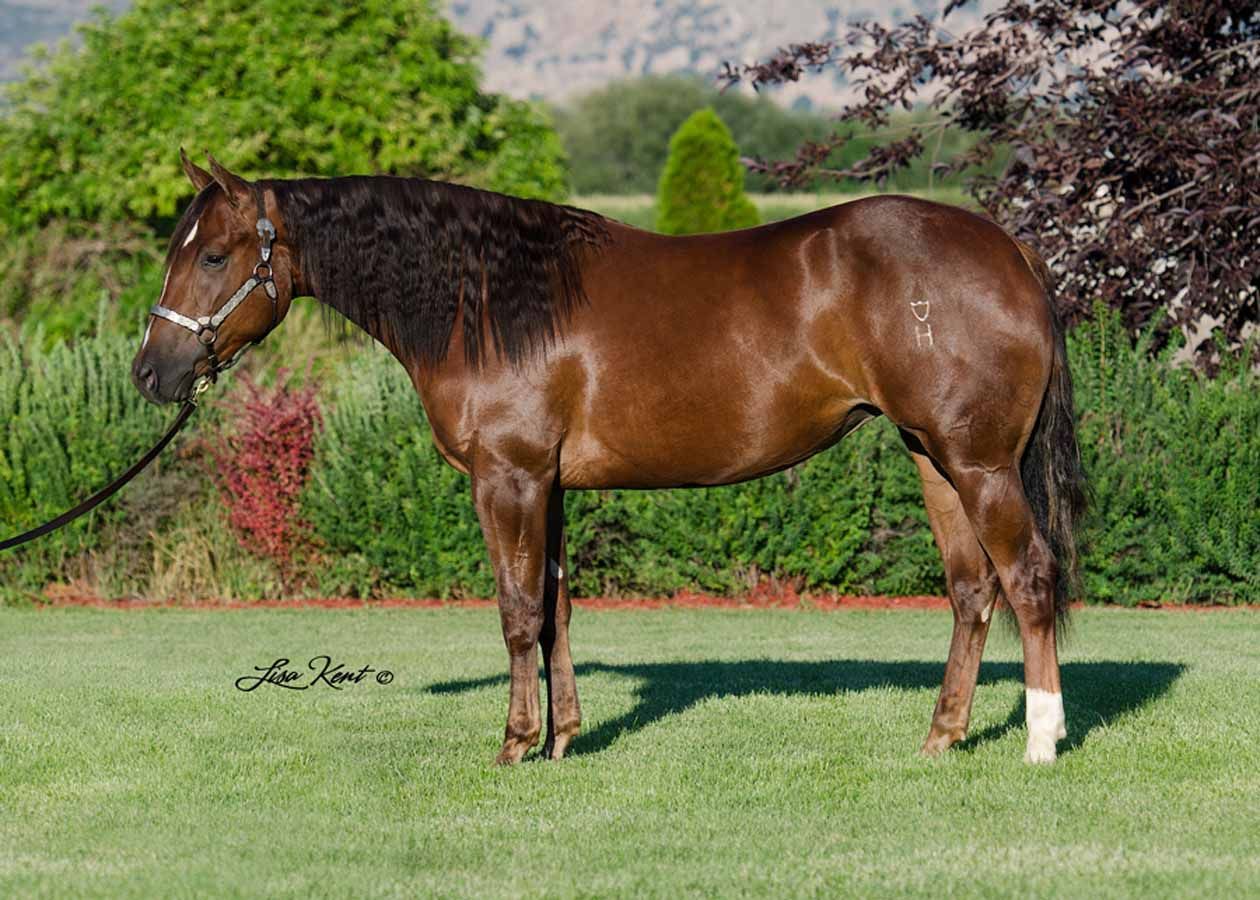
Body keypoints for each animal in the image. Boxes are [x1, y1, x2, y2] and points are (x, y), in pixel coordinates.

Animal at [133, 152, 1087, 765]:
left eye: (212, 254)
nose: (151, 373)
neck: (489, 303)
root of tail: (1009, 251)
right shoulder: (550, 485)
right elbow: (557, 610)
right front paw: (563, 739)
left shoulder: (509, 477)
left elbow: (518, 613)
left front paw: (515, 745)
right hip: (935, 458)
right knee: (972, 590)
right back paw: (941, 738)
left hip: (980, 464)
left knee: (1030, 578)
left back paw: (1041, 741)